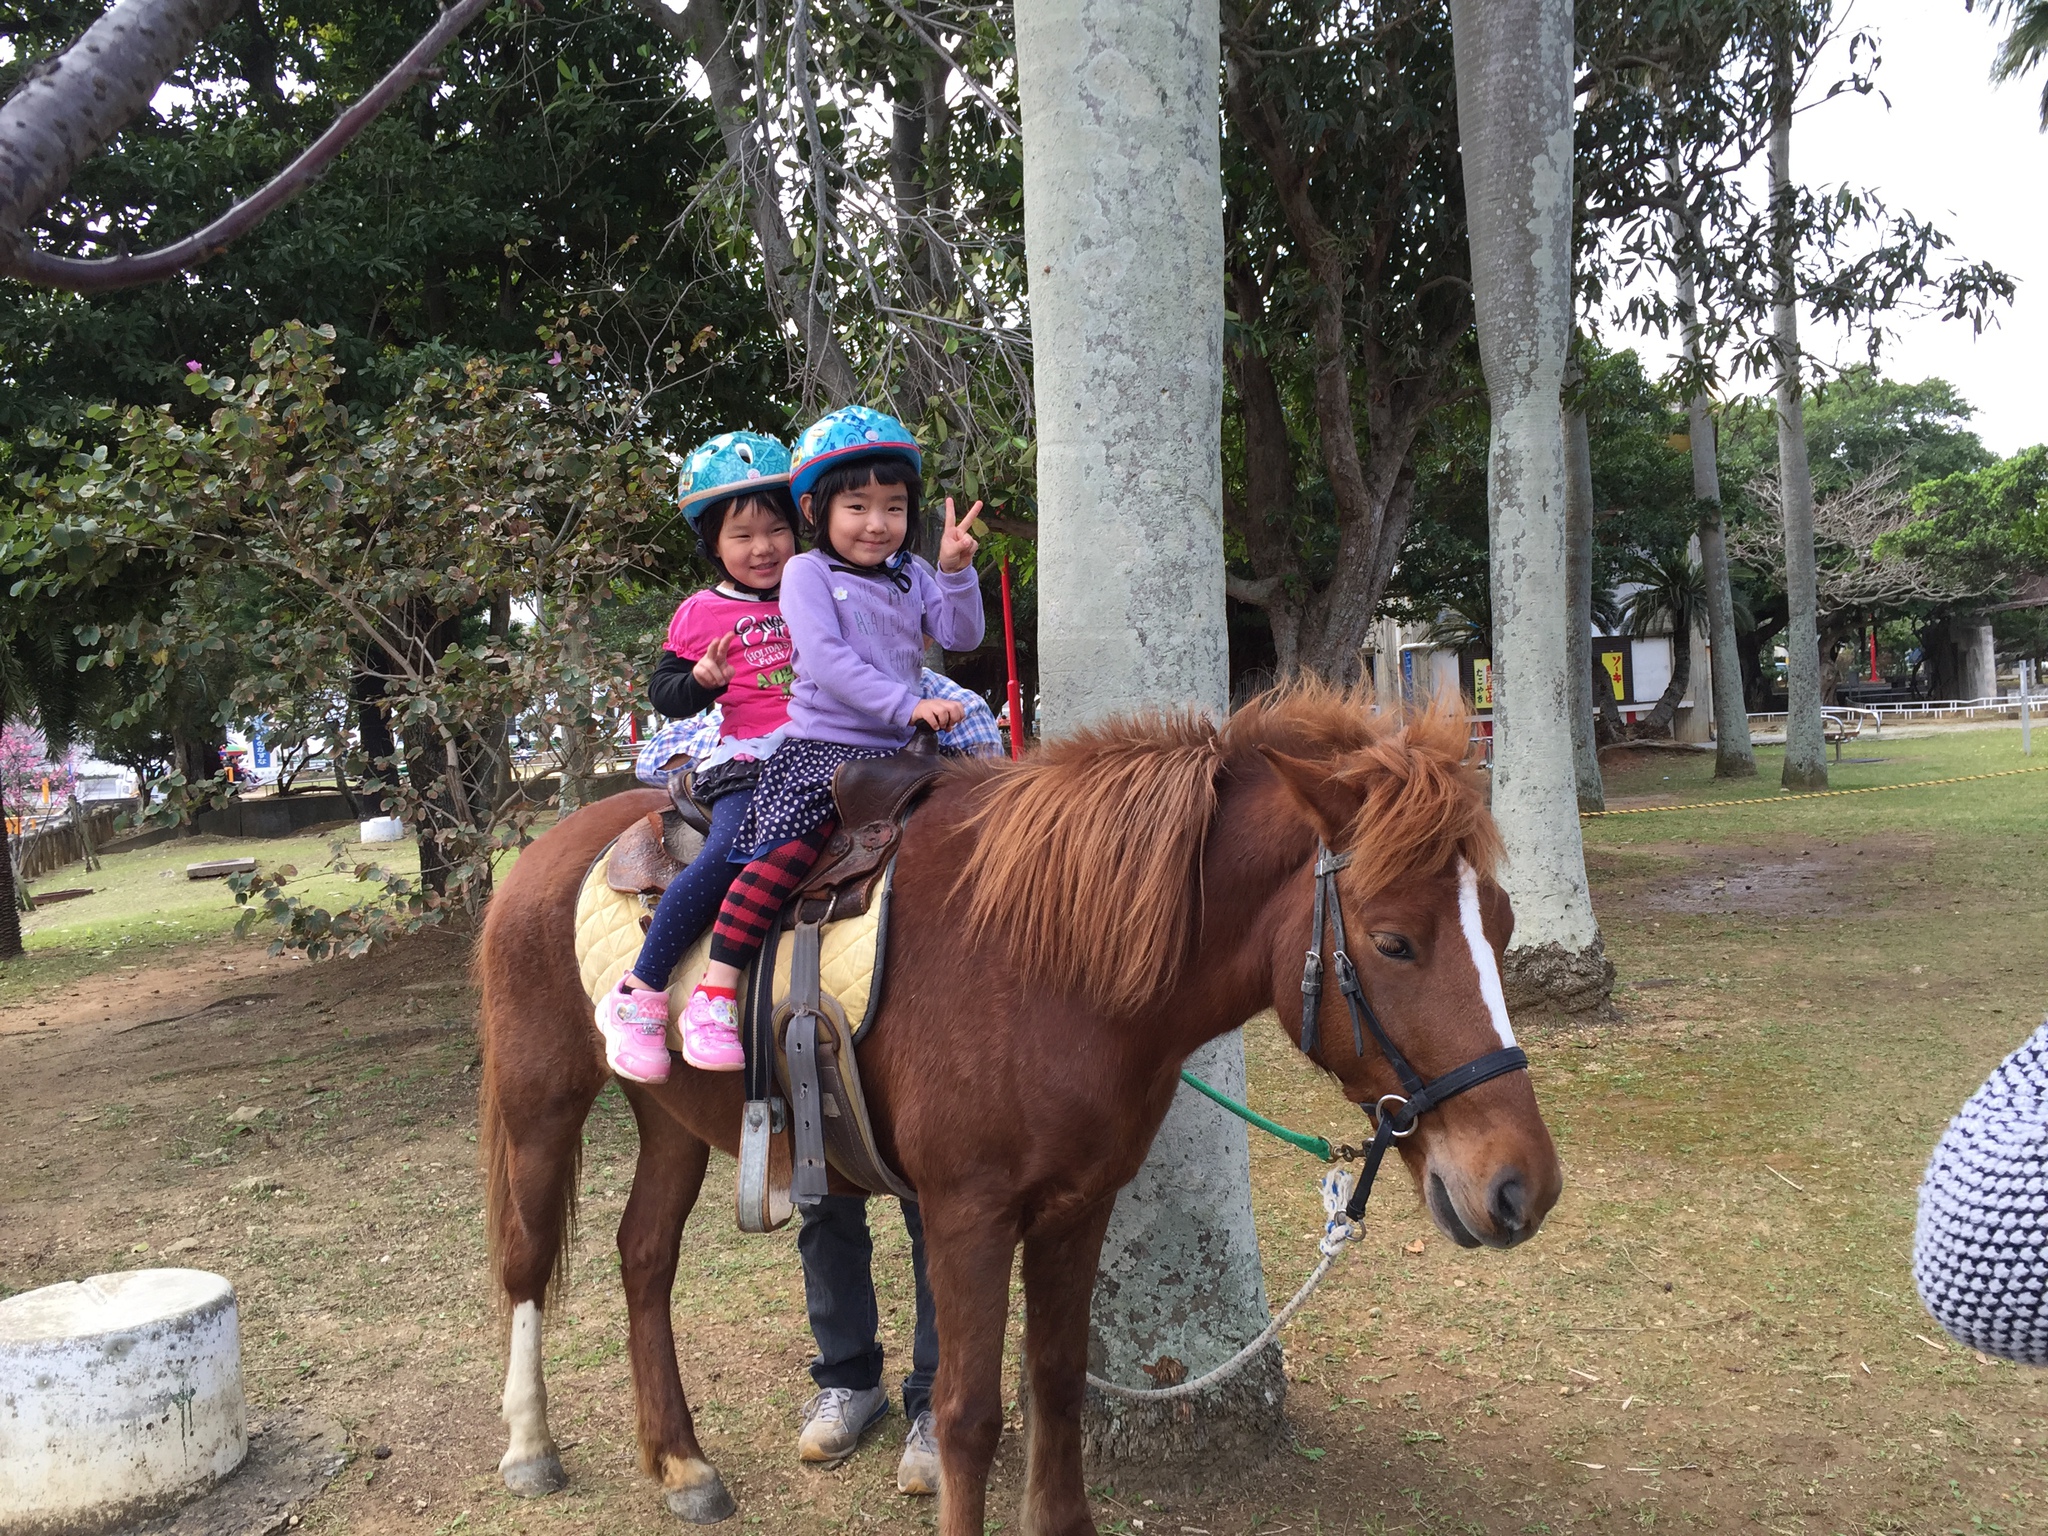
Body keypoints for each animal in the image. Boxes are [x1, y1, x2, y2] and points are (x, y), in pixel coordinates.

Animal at [479, 688, 1556, 1536]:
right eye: (1394, 941)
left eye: (1503, 925)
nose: (1522, 1187)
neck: (1047, 959)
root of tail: (546, 849)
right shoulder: (969, 1215)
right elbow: (967, 1417)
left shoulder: (1079, 1205)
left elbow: (1056, 1384)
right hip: (543, 1099)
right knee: (528, 1262)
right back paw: (529, 1449)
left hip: (669, 1117)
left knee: (643, 1256)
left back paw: (679, 1462)